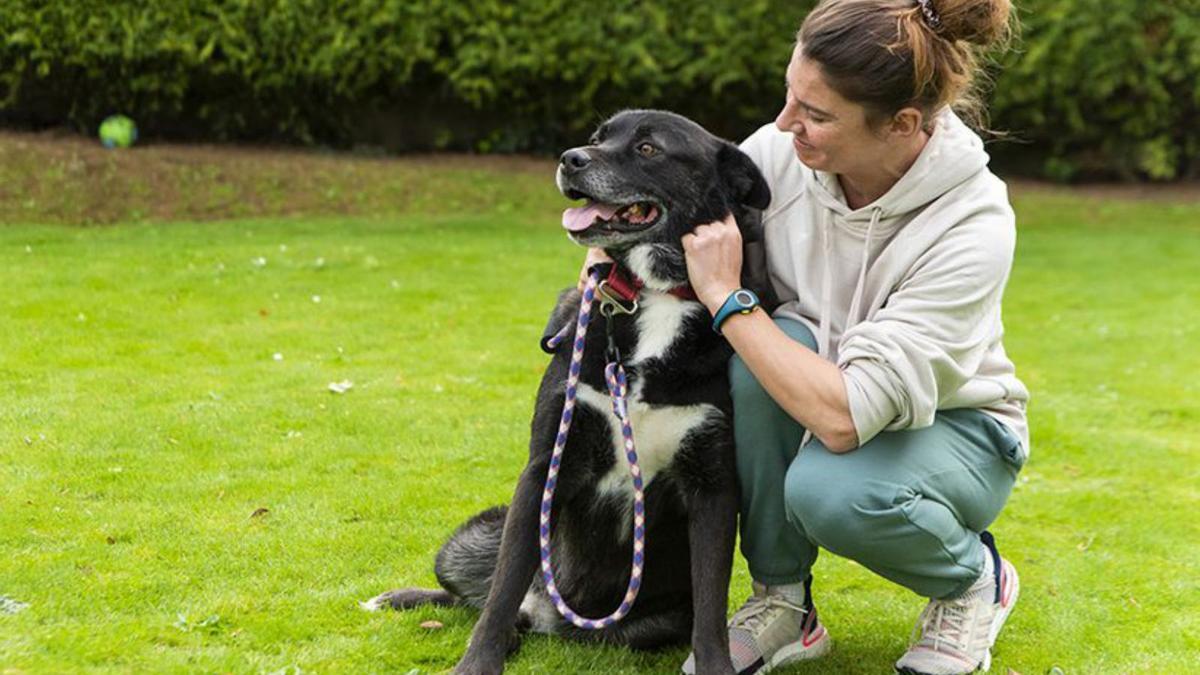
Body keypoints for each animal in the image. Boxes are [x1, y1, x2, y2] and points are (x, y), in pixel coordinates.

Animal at [364, 110, 772, 672]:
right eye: (599, 137)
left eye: (648, 148)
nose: (570, 159)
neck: (651, 296)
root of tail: (549, 621)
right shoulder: (544, 469)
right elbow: (501, 590)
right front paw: (478, 662)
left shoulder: (712, 485)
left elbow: (711, 609)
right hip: (467, 540)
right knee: (484, 599)